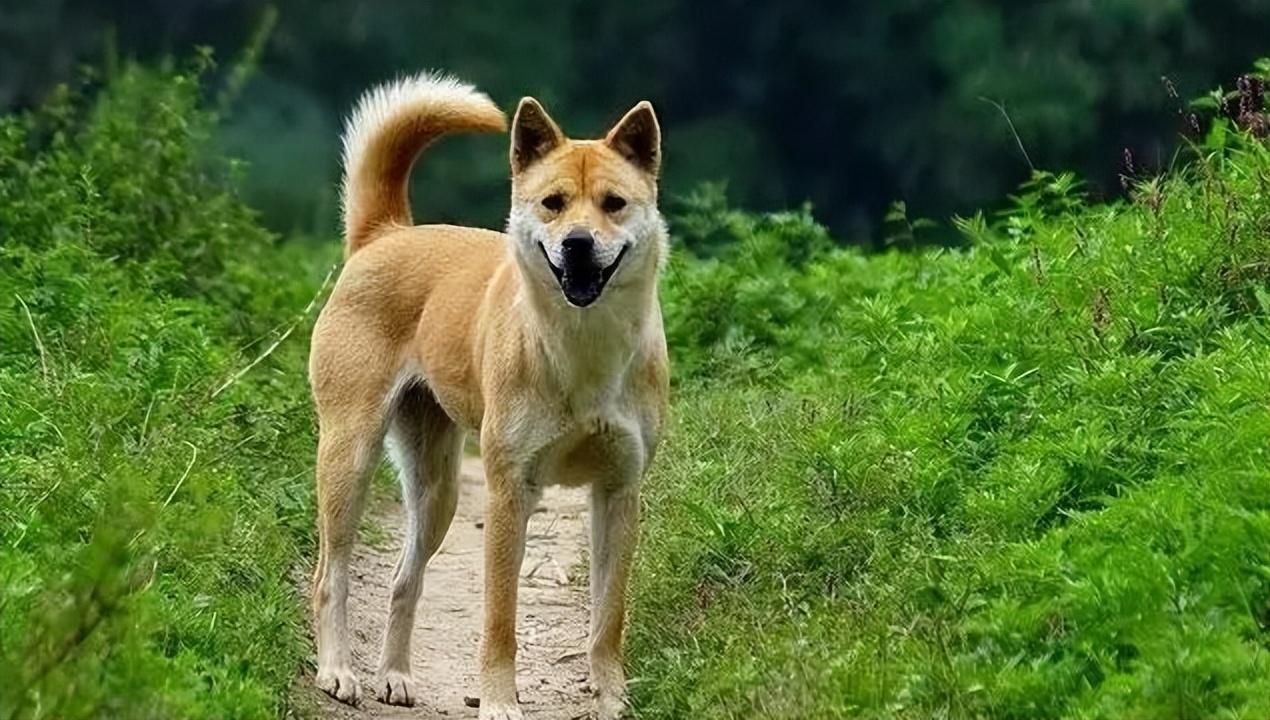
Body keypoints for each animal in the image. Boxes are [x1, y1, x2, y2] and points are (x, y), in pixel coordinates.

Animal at [306, 74, 670, 720]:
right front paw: (500, 701)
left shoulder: (619, 492)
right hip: (349, 458)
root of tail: (387, 233)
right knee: (331, 575)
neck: (583, 349)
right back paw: (338, 671)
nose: (578, 244)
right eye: (552, 203)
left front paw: (610, 696)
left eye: (613, 203)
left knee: (404, 580)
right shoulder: (508, 493)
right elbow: (499, 618)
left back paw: (395, 676)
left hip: (438, 491)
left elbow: (609, 615)